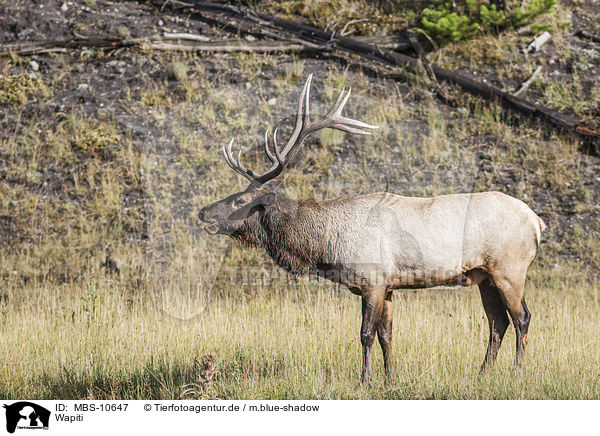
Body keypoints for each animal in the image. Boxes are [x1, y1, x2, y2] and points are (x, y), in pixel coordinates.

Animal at [199, 76, 548, 384]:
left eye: (240, 200)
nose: (204, 211)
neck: (326, 245)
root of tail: (537, 222)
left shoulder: (373, 279)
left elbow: (366, 334)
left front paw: (364, 380)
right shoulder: (389, 286)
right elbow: (386, 334)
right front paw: (392, 378)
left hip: (509, 268)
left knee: (522, 317)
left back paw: (517, 374)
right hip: (483, 275)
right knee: (497, 322)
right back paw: (482, 374)